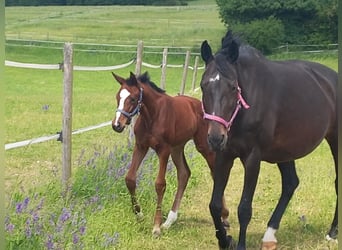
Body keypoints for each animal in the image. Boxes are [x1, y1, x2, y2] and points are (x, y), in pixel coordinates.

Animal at [111, 72, 230, 236]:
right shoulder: (141, 146)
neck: (153, 115)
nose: (117, 125)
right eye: (118, 97)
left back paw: (224, 216)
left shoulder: (163, 150)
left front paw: (156, 227)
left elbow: (160, 184)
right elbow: (130, 179)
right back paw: (169, 221)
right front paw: (139, 214)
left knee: (214, 173)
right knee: (184, 173)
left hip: (204, 146)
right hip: (177, 148)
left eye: (133, 99)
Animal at [200, 30, 336, 249]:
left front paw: (240, 244)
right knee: (290, 183)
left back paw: (332, 232)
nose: (215, 137)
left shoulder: (252, 159)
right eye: (203, 85)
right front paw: (225, 240)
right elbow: (215, 204)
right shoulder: (224, 155)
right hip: (285, 151)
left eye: (233, 87)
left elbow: (244, 209)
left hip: (335, 139)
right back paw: (269, 236)